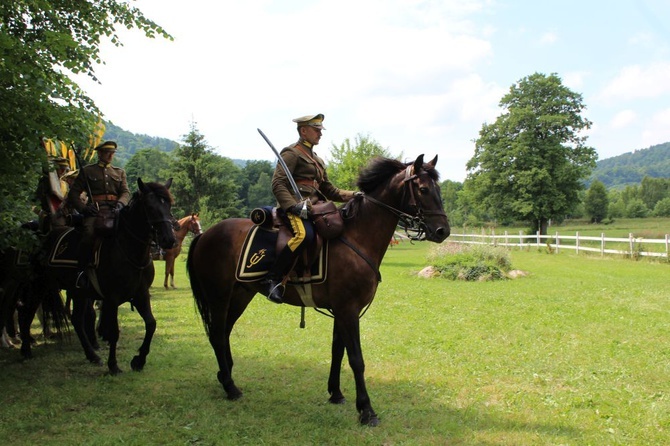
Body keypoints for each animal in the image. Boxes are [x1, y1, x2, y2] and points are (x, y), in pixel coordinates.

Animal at [38, 179, 177, 374]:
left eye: (169, 204)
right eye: (150, 206)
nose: (169, 240)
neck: (130, 251)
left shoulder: (141, 294)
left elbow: (151, 324)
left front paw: (139, 360)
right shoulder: (112, 298)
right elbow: (114, 332)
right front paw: (113, 365)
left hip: (79, 293)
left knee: (77, 320)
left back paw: (92, 355)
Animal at [186, 154, 454, 426]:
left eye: (438, 189)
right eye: (423, 189)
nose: (442, 230)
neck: (356, 237)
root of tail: (206, 234)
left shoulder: (343, 311)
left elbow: (338, 351)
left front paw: (336, 393)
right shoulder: (348, 310)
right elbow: (356, 359)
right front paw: (366, 410)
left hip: (240, 295)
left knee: (223, 333)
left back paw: (225, 376)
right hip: (218, 297)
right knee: (218, 335)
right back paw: (230, 387)